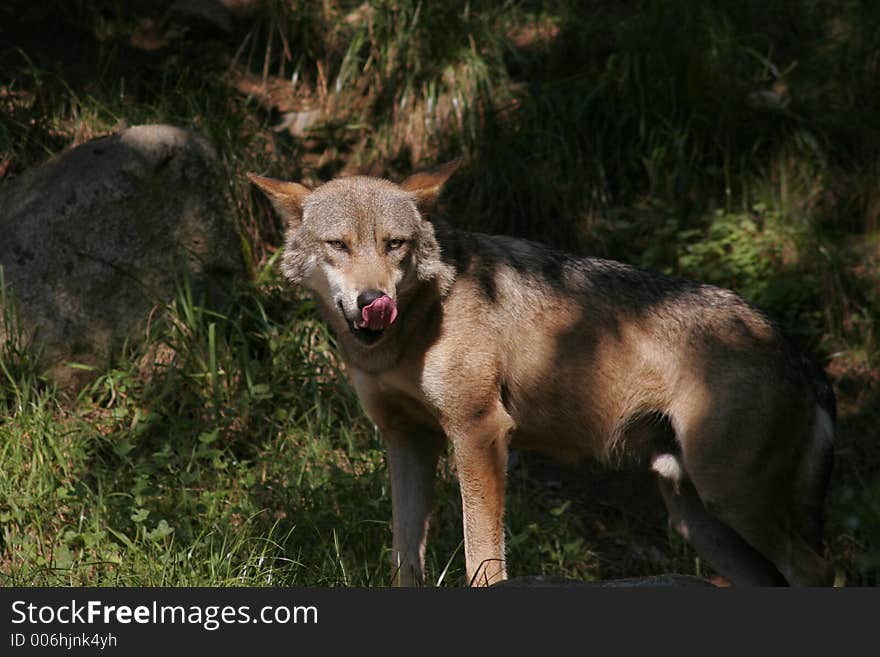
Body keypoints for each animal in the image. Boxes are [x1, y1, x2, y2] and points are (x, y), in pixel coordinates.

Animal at [249, 161, 840, 588]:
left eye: (395, 244)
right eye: (339, 245)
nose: (375, 302)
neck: (414, 329)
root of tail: (795, 350)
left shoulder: (480, 432)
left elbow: (482, 557)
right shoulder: (407, 440)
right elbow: (406, 560)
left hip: (729, 498)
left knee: (817, 569)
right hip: (697, 518)